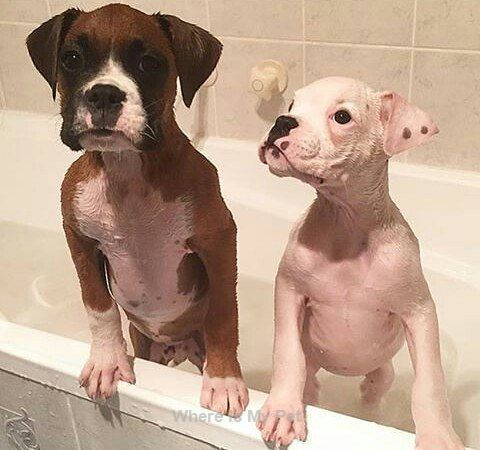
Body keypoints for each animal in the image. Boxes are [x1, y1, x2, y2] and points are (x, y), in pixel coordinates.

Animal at [27, 4, 248, 418]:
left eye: (149, 63)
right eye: (72, 59)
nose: (103, 94)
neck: (127, 170)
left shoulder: (219, 240)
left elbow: (224, 312)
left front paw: (225, 381)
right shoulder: (80, 240)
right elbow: (98, 305)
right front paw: (106, 361)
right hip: (146, 344)